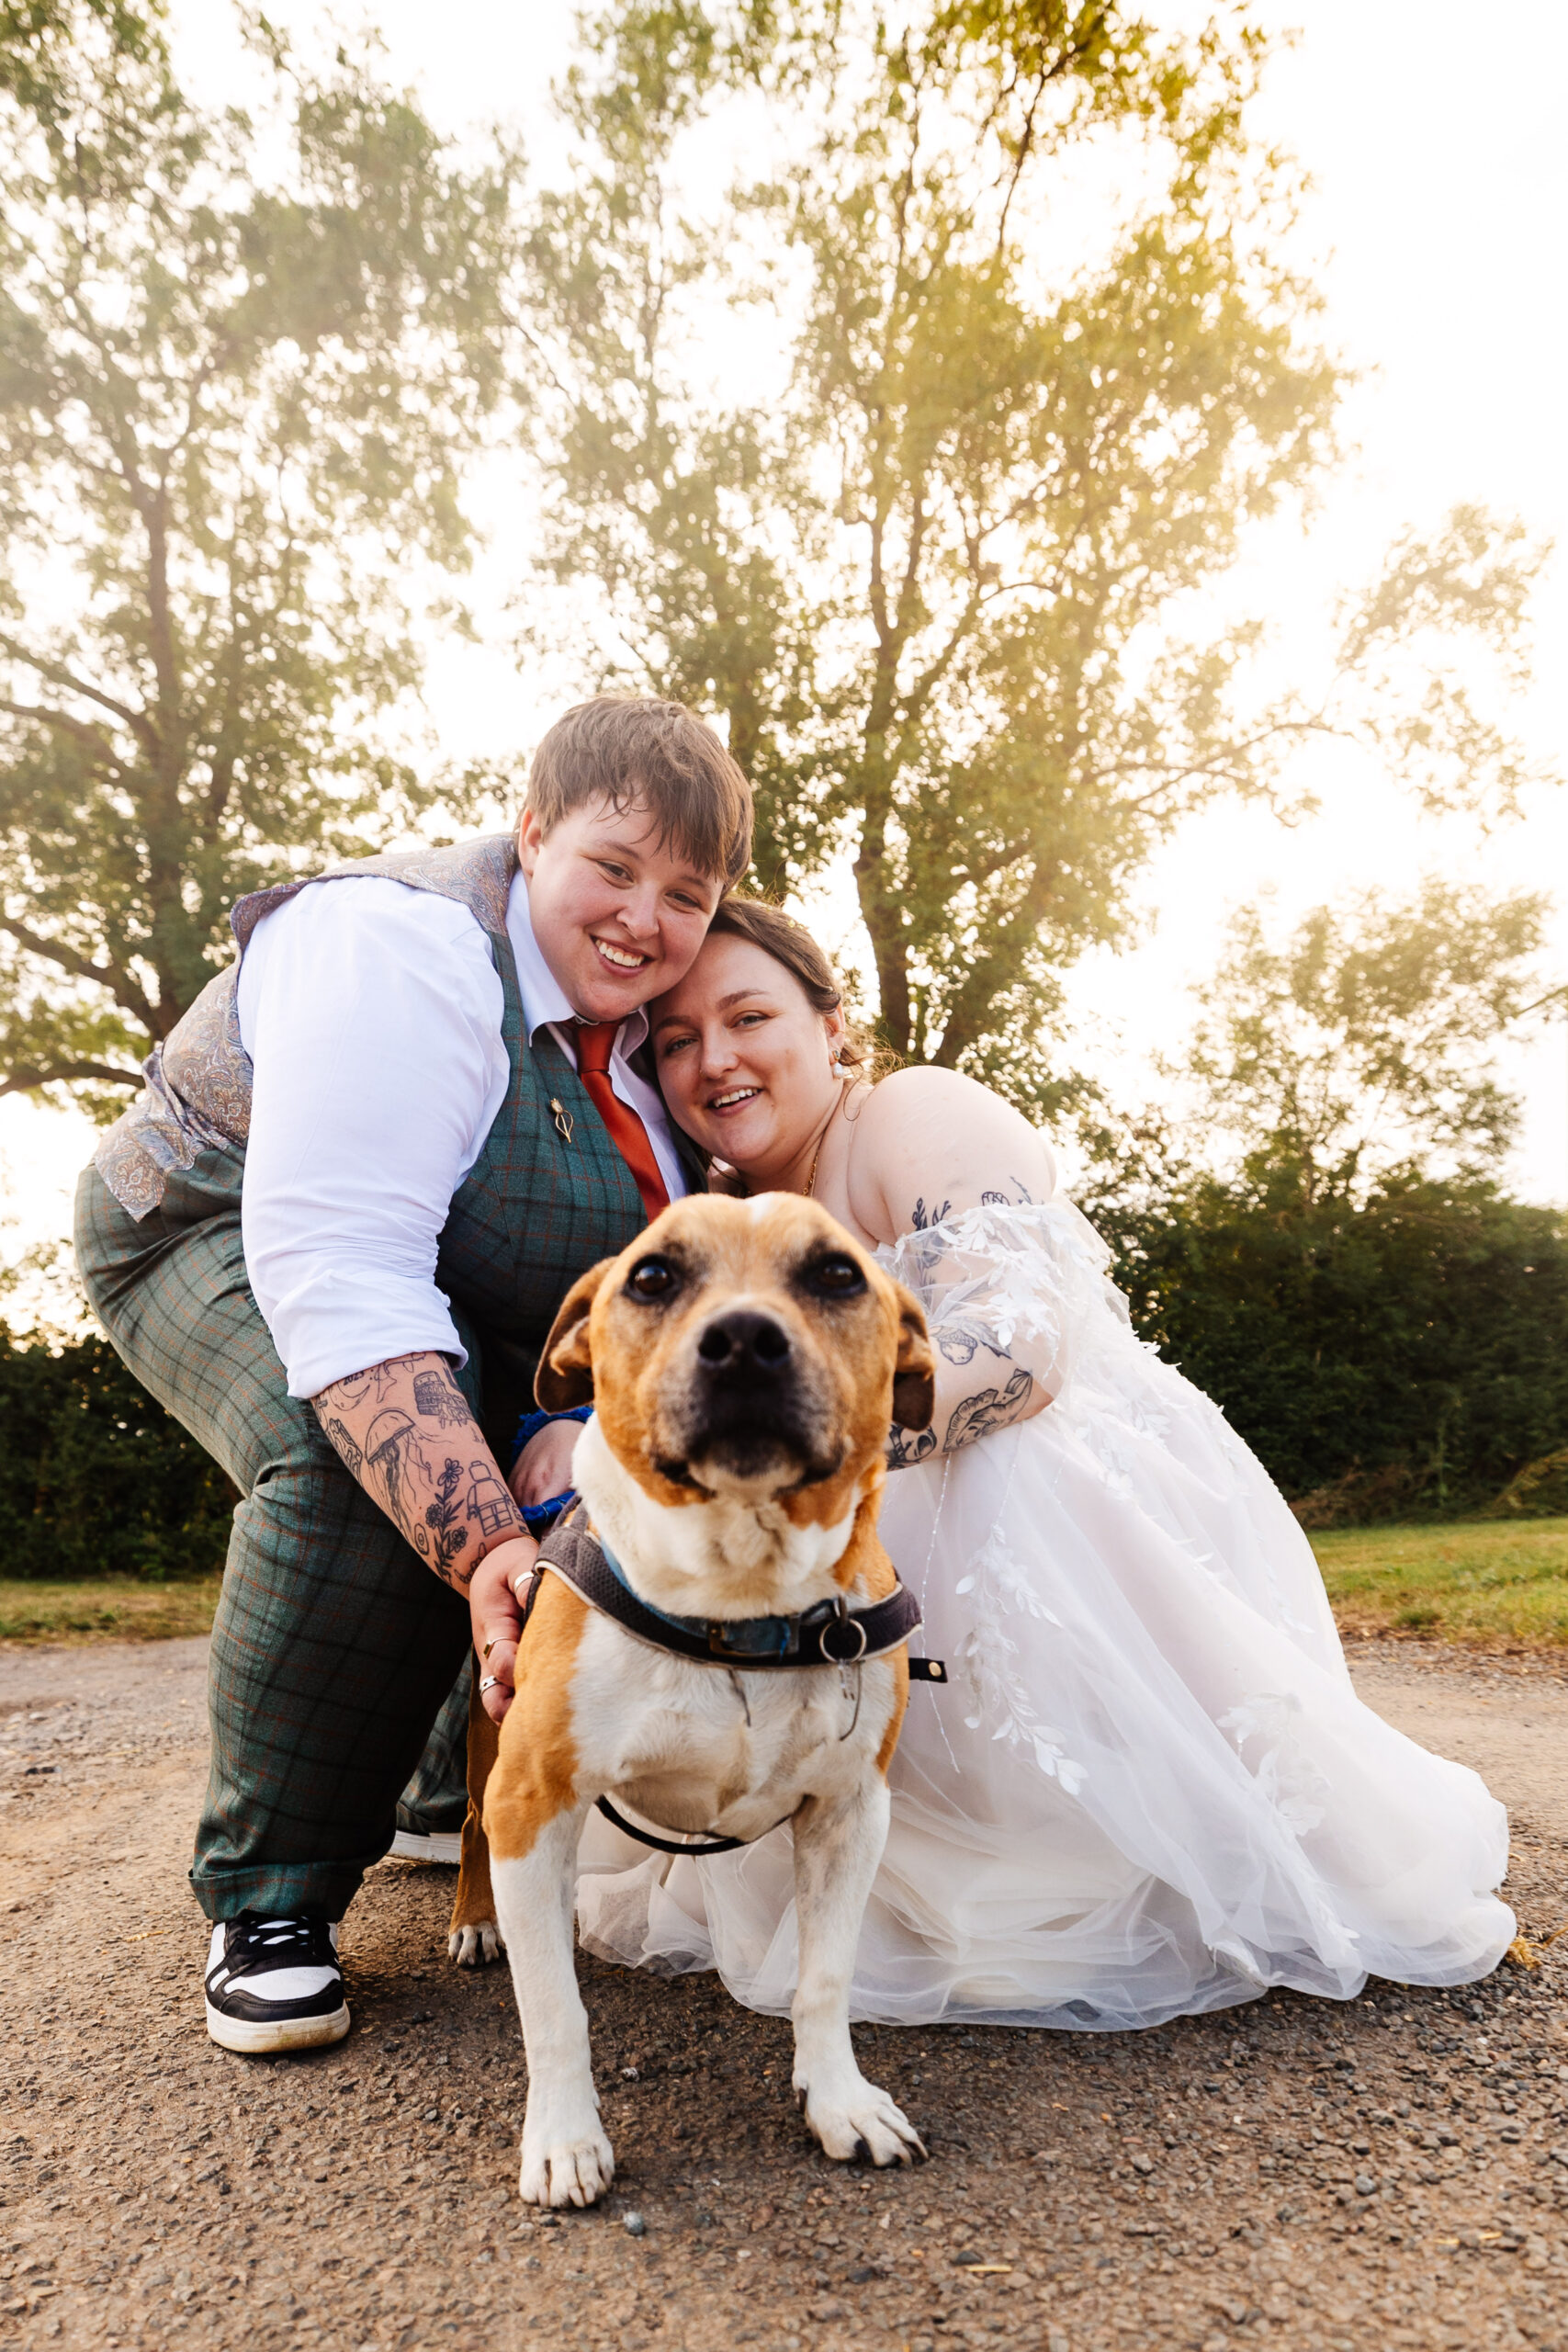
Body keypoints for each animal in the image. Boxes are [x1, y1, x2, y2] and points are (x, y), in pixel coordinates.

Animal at [444, 1194, 931, 2201]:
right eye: (653, 1277)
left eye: (837, 1273)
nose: (744, 1339)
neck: (740, 1597)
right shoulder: (534, 1801)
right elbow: (553, 2009)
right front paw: (564, 2138)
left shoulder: (850, 1813)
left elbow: (824, 1979)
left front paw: (841, 2102)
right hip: (486, 1741)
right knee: (469, 1826)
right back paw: (475, 1921)